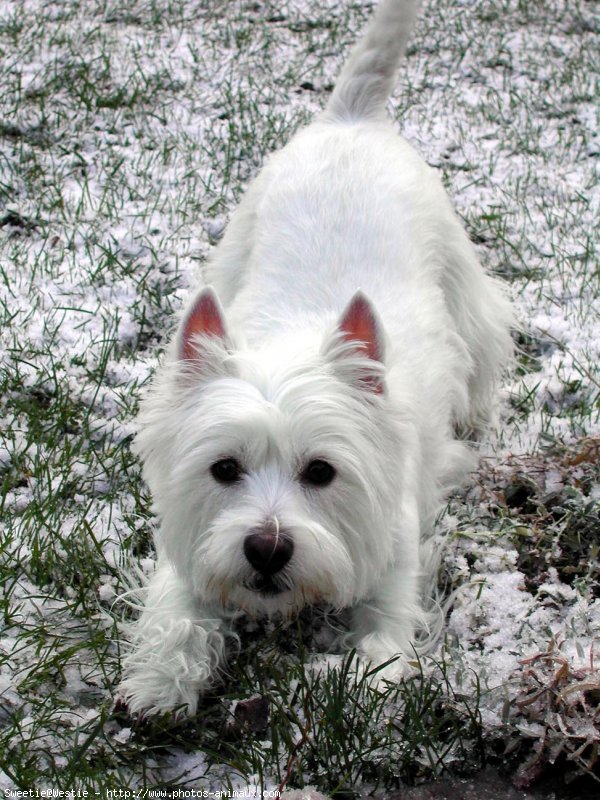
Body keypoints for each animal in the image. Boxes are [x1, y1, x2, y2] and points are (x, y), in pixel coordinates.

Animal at [117, 0, 510, 716]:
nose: (266, 548)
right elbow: (179, 607)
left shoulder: (395, 565)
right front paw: (160, 682)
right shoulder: (194, 547)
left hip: (456, 269)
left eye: (322, 472)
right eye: (223, 468)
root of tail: (352, 118)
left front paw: (354, 684)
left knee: (484, 336)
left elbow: (382, 639)